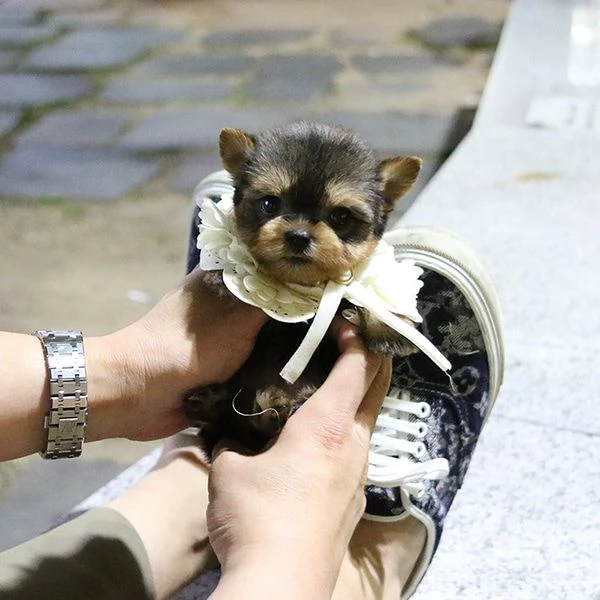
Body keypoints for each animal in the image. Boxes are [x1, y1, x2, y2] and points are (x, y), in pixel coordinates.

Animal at [184, 120, 422, 450]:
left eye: (341, 216)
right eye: (269, 204)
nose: (298, 235)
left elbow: (367, 296)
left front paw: (391, 329)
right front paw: (227, 274)